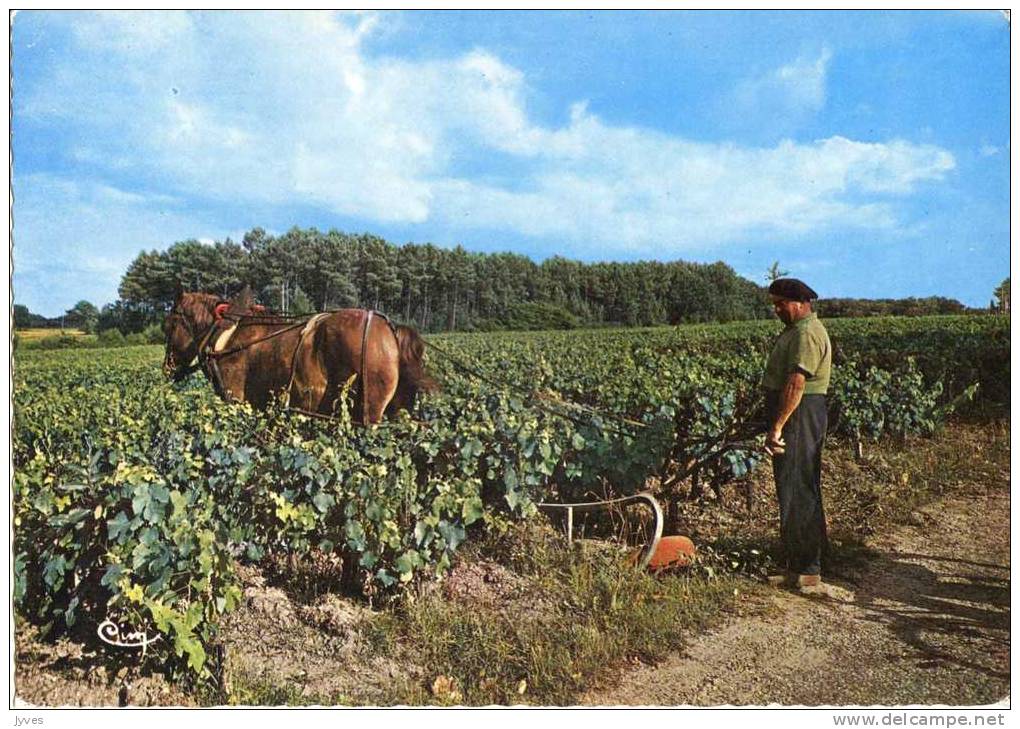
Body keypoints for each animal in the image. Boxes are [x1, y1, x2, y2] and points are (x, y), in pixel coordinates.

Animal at [161, 285, 432, 422]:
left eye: (169, 325)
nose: (167, 369)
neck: (223, 334)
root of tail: (390, 330)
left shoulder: (235, 399)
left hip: (368, 412)